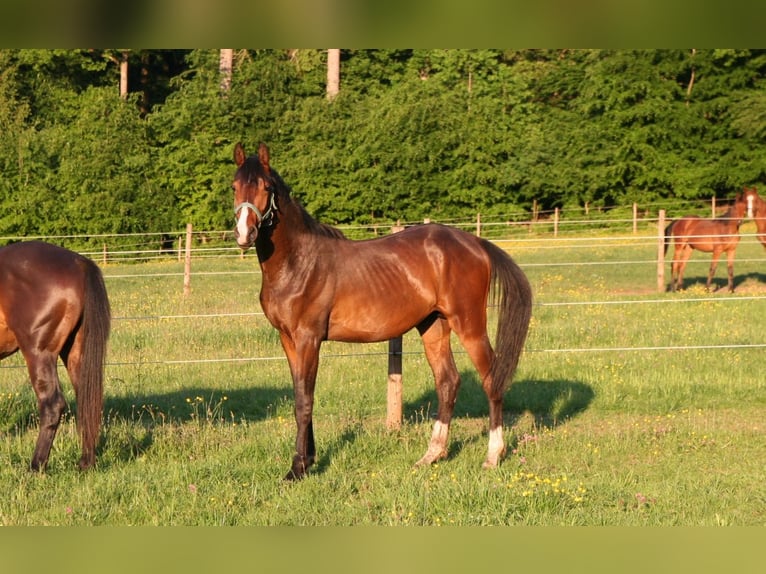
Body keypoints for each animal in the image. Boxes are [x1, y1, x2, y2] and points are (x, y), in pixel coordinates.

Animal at [0, 241, 110, 471]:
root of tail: (79, 262)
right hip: (76, 353)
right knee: (86, 402)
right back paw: (85, 464)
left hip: (39, 353)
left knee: (52, 405)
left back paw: (36, 466)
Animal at [232, 142, 533, 480]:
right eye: (234, 186)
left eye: (266, 187)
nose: (244, 234)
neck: (299, 262)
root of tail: (476, 242)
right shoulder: (288, 340)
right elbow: (301, 394)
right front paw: (308, 460)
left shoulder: (308, 339)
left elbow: (304, 401)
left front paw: (297, 469)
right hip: (434, 325)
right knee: (448, 382)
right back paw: (431, 455)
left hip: (469, 325)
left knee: (491, 380)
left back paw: (493, 456)